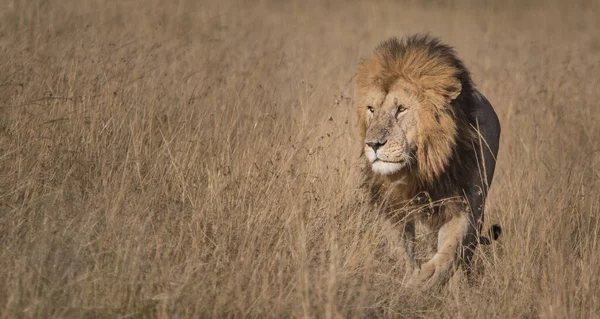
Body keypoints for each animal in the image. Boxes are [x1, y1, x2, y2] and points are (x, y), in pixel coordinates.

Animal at [356, 35, 502, 290]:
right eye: (371, 109)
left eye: (401, 109)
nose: (373, 144)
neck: (417, 169)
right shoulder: (391, 209)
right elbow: (401, 250)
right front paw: (409, 281)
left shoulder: (463, 204)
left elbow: (453, 247)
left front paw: (428, 278)